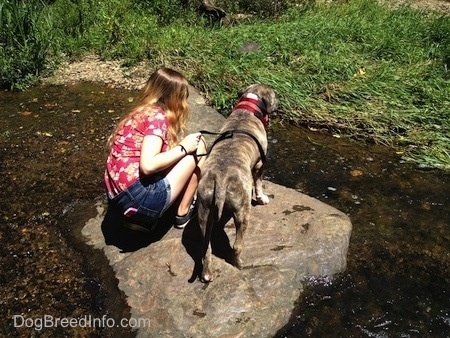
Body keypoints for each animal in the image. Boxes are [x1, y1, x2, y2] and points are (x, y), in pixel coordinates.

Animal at [197, 84, 278, 282]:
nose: (279, 103)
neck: (248, 108)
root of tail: (220, 178)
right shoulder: (260, 165)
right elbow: (259, 183)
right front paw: (262, 198)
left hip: (204, 210)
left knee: (206, 247)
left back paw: (207, 274)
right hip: (242, 210)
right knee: (237, 245)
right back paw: (239, 264)